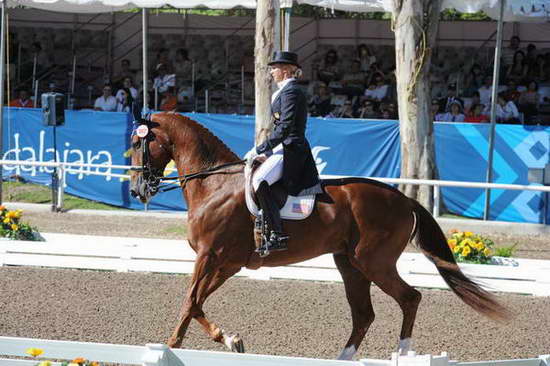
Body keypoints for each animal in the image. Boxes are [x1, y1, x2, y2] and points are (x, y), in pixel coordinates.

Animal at [129, 113, 508, 358]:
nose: (137, 190)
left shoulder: (210, 256)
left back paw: (401, 353)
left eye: (137, 143)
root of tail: (404, 199)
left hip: (374, 262)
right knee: (364, 315)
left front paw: (178, 346)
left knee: (409, 298)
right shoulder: (226, 263)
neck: (214, 184)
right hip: (349, 264)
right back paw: (344, 357)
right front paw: (228, 340)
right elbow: (197, 303)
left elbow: (190, 301)